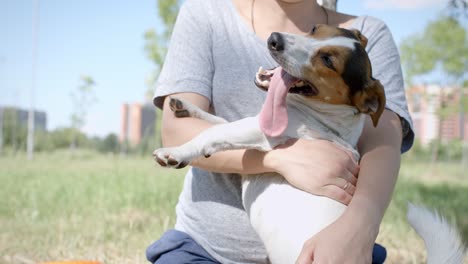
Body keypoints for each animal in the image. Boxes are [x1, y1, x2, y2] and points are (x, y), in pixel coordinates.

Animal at [153, 24, 464, 262]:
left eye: (328, 61)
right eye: (315, 29)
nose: (274, 39)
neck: (324, 119)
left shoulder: (263, 132)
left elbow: (212, 134)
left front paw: (176, 152)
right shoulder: (250, 125)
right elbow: (219, 121)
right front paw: (187, 108)